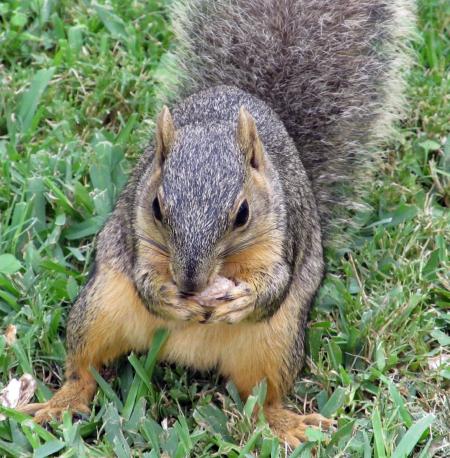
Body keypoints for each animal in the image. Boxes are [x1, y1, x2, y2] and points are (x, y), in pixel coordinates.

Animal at [20, 0, 414, 448]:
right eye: (156, 207)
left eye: (242, 214)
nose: (190, 284)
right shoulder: (137, 235)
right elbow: (144, 280)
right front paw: (167, 296)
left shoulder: (284, 235)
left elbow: (275, 286)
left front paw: (245, 300)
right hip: (98, 311)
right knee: (83, 368)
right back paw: (62, 403)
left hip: (276, 346)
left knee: (259, 401)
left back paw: (285, 425)